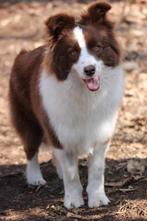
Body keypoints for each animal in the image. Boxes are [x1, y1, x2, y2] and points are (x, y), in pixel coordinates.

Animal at [9, 1, 123, 209]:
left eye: (97, 47)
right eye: (73, 52)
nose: (90, 70)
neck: (84, 93)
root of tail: (24, 54)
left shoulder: (101, 133)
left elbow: (97, 170)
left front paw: (97, 198)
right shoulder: (60, 131)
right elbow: (71, 174)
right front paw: (73, 200)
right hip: (29, 120)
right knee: (30, 149)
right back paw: (35, 177)